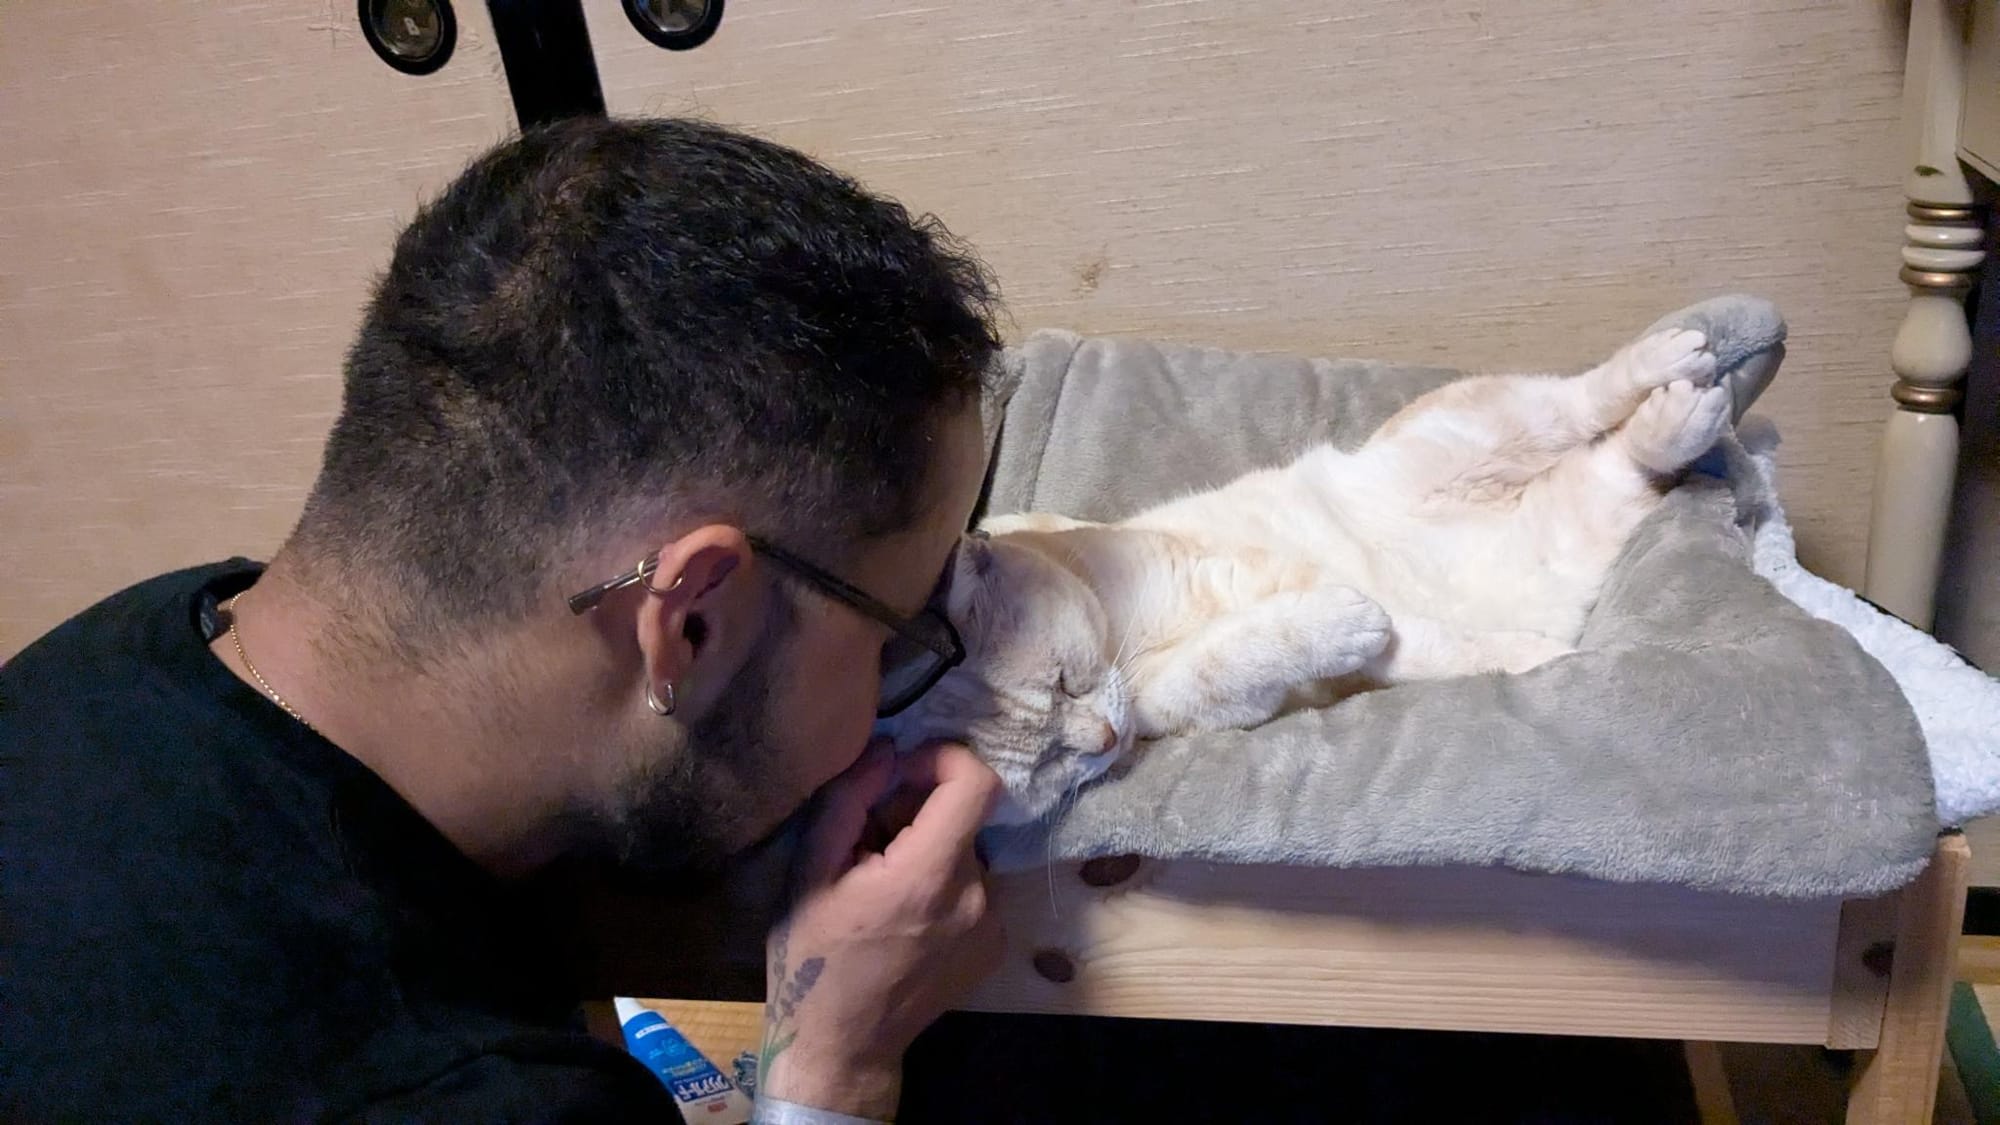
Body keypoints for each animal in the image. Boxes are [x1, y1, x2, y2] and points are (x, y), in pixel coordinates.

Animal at [879, 328, 1733, 825]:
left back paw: (1681, 363)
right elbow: (1240, 662)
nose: (1105, 741)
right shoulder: (1207, 696)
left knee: (1581, 397)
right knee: (1624, 461)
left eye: (1065, 680)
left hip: (1469, 436)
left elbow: (1340, 625)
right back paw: (1674, 427)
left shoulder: (1234, 570)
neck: (1128, 637)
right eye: (1048, 763)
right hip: (1574, 516)